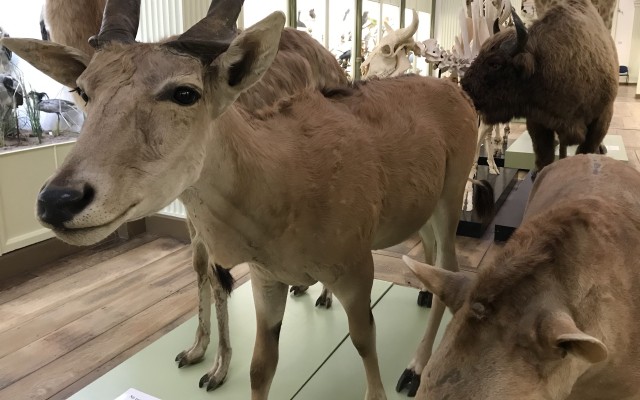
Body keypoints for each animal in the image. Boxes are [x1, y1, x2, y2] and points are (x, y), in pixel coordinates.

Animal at [1, 0, 496, 396]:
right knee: (429, 255)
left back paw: (414, 369)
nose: (58, 200)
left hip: (451, 199)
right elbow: (261, 367)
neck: (283, 177)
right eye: (84, 89)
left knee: (450, 266)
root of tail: (456, 93)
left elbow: (364, 346)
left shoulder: (357, 271)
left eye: (185, 92)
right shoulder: (265, 281)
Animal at [462, 1, 616, 173]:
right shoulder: (538, 122)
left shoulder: (601, 118)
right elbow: (544, 158)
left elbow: (584, 151)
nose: (464, 86)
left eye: (495, 64)